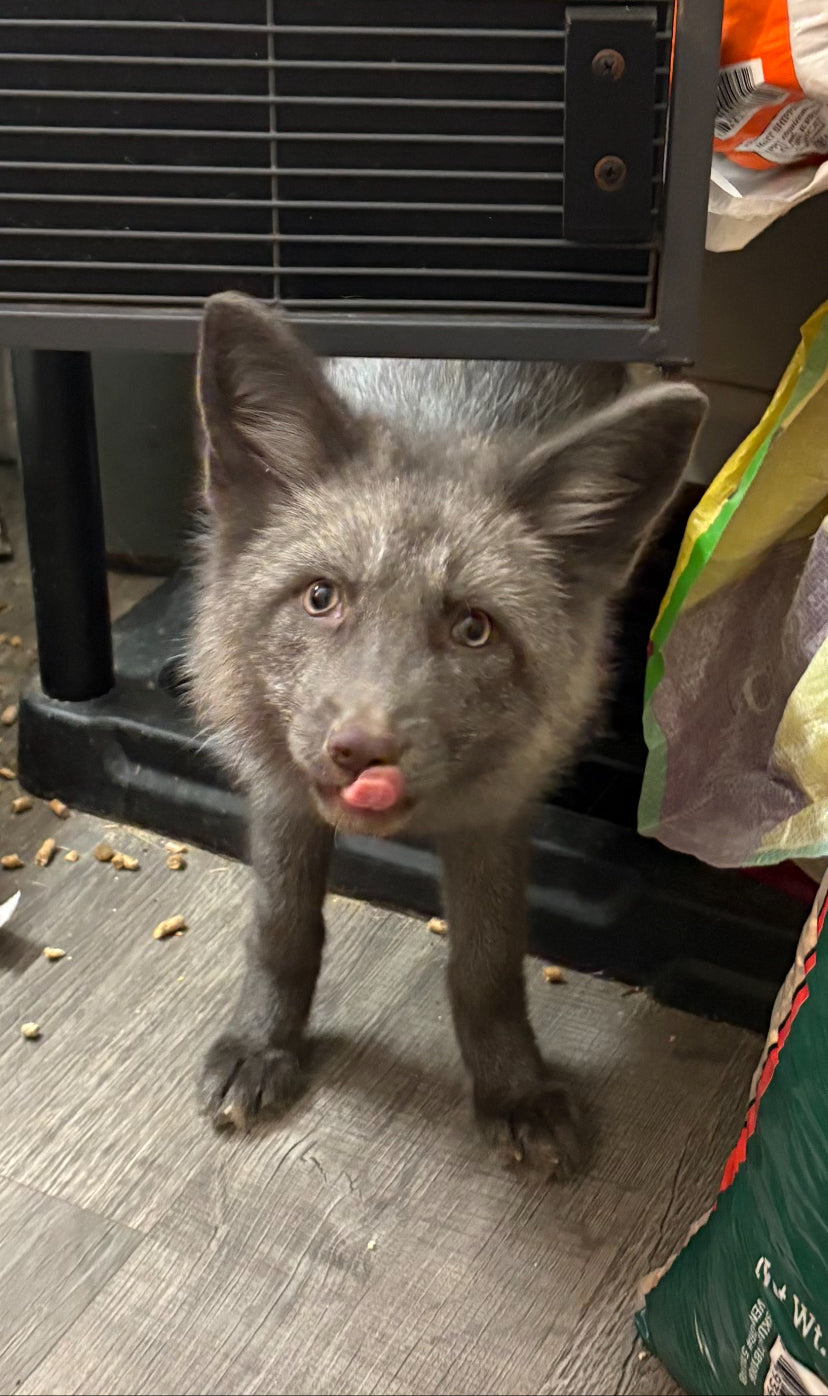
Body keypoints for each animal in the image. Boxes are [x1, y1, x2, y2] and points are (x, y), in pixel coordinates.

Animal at [190, 290, 706, 1175]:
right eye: (321, 597)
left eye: (474, 630)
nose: (361, 753)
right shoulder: (281, 788)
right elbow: (281, 926)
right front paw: (265, 1043)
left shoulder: (498, 811)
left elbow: (488, 966)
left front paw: (514, 1089)